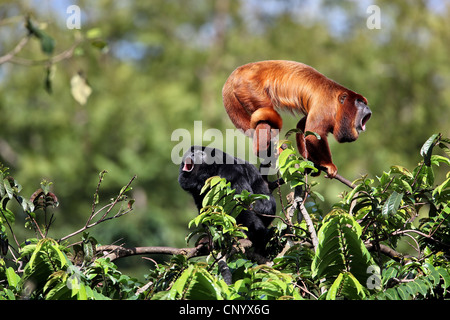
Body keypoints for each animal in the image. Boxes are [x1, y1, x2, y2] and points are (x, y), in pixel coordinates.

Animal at [222, 59, 372, 179]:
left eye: (363, 102)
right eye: (359, 102)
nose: (368, 108)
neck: (338, 104)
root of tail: (239, 71)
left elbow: (302, 127)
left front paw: (311, 162)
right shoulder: (326, 107)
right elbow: (312, 135)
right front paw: (328, 164)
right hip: (250, 88)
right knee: (266, 116)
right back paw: (262, 149)